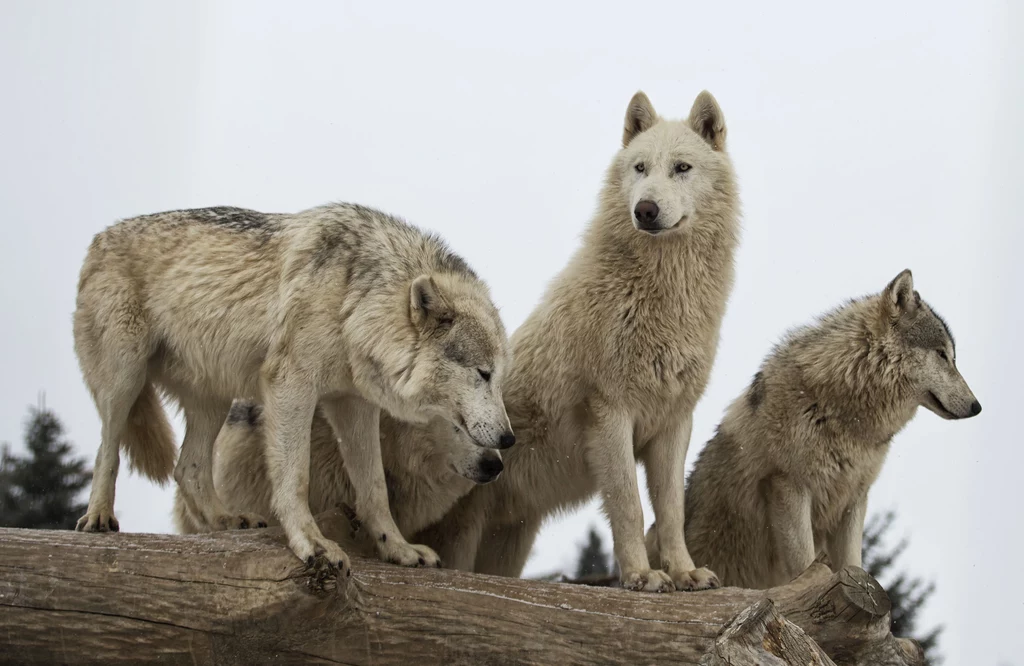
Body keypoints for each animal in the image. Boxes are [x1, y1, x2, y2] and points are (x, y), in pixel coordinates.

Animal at [411, 89, 741, 590]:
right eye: (640, 168)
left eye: (681, 167)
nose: (645, 210)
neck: (661, 296)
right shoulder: (611, 414)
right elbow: (629, 505)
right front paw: (641, 577)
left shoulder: (674, 423)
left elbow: (671, 511)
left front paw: (685, 573)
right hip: (461, 533)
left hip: (508, 543)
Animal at [647, 268, 983, 586]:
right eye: (942, 355)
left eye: (951, 356)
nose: (977, 407)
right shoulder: (789, 487)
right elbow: (805, 565)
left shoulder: (854, 499)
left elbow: (853, 565)